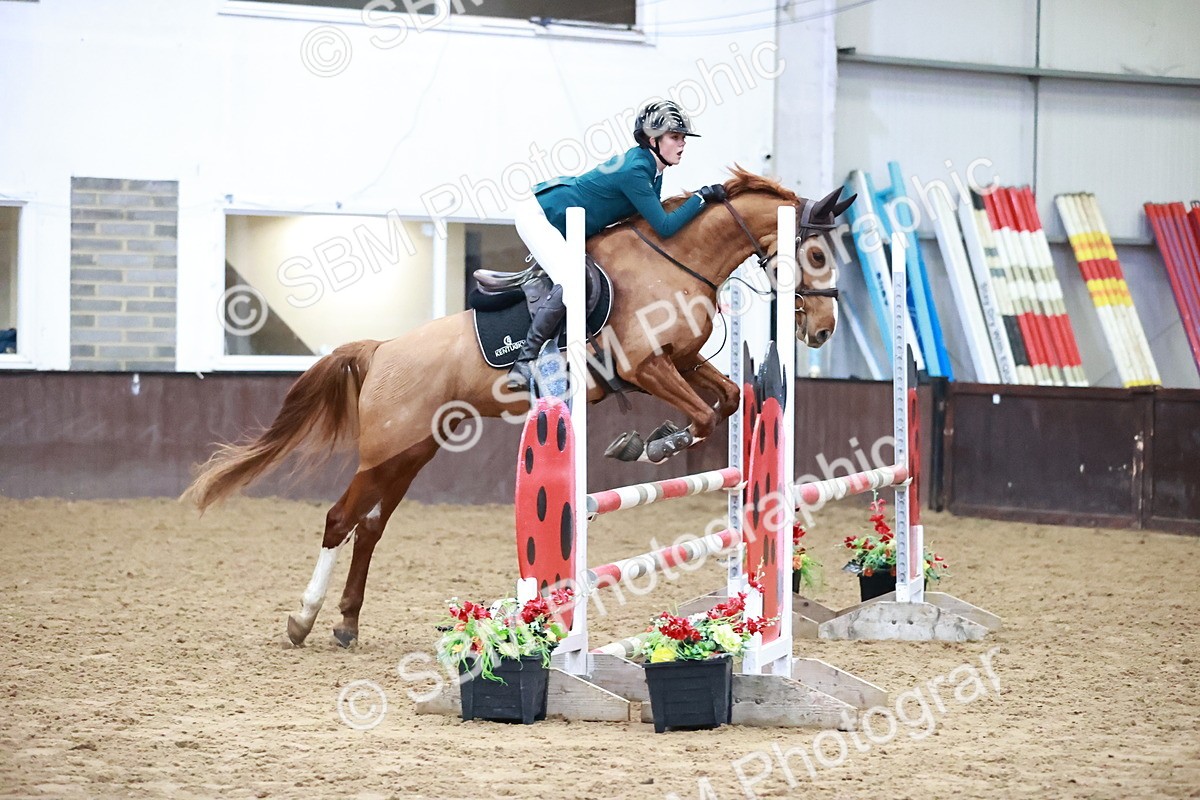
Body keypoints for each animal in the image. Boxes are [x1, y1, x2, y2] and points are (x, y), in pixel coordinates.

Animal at [182, 167, 854, 647]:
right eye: (818, 255)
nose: (823, 331)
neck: (677, 259)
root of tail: (382, 350)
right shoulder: (647, 368)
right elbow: (707, 414)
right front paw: (650, 444)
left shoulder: (683, 362)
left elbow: (730, 399)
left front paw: (657, 439)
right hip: (383, 453)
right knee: (339, 520)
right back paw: (303, 620)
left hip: (411, 453)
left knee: (369, 528)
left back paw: (346, 624)